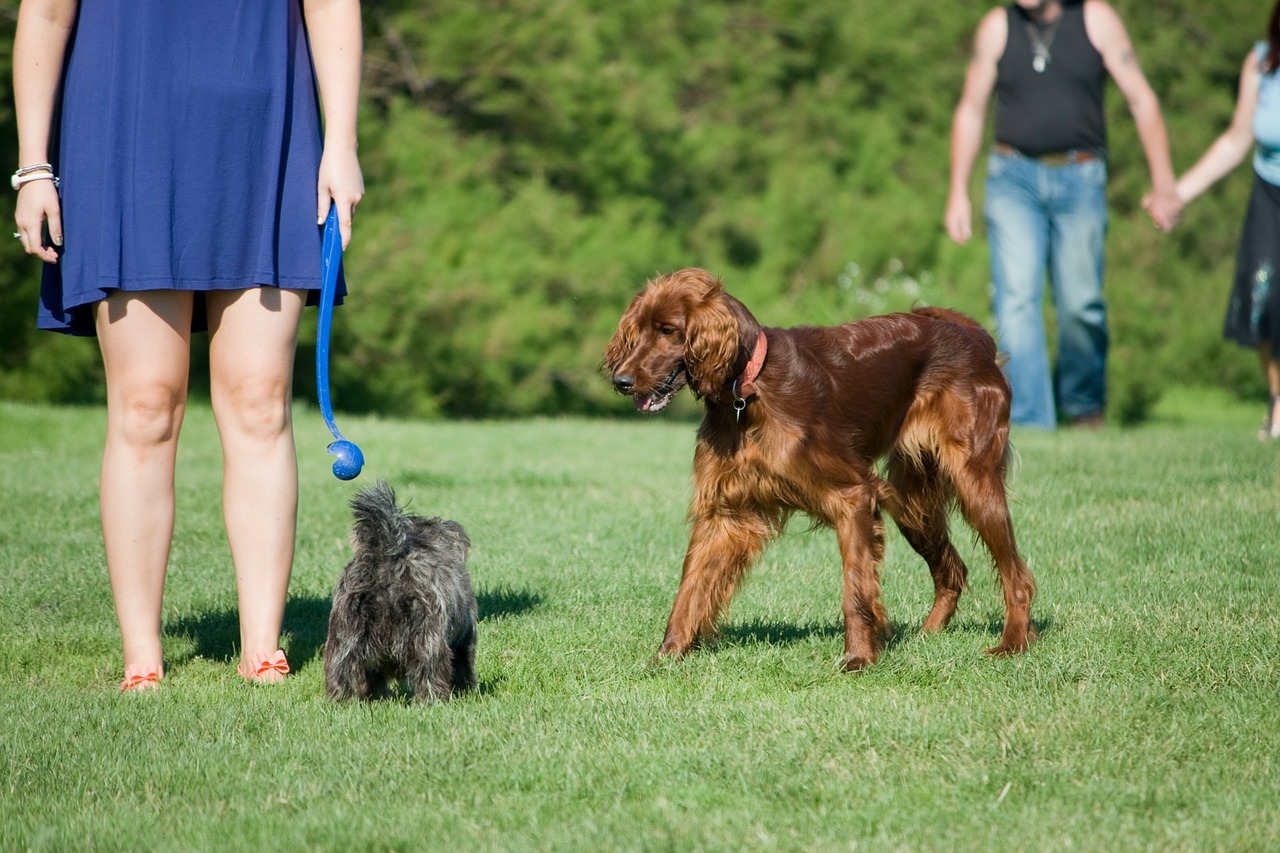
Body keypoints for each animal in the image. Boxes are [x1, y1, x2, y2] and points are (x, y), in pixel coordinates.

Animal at [322, 481, 478, 701]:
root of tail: (386, 560)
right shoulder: (465, 636)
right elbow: (463, 666)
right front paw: (466, 690)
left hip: (344, 637)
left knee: (341, 672)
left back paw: (343, 700)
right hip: (428, 640)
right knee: (430, 672)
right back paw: (434, 700)